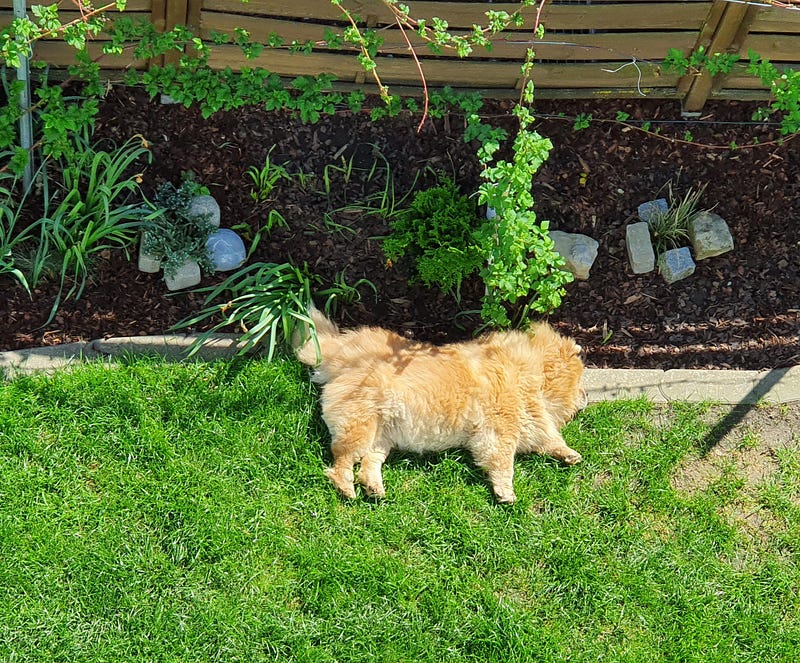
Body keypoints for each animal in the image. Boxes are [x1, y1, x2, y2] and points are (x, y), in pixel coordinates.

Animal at [296, 310, 584, 504]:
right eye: (579, 378)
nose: (584, 398)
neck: (529, 371)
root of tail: (340, 359)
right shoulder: (500, 430)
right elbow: (504, 462)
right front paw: (506, 492)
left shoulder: (530, 422)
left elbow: (550, 439)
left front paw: (569, 454)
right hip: (360, 426)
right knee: (342, 461)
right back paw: (347, 488)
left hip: (382, 436)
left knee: (369, 463)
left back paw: (374, 488)